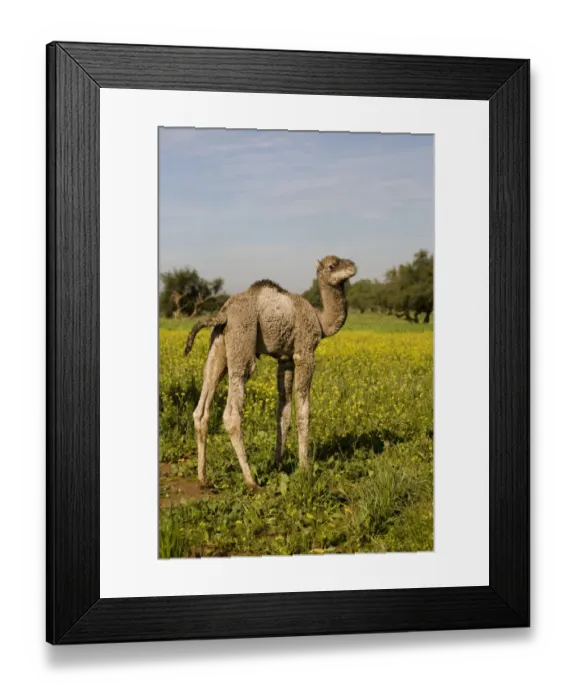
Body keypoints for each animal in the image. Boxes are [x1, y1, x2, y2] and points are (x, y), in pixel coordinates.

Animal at [183, 255, 357, 489]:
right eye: (332, 265)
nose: (353, 266)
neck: (321, 323)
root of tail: (223, 314)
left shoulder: (285, 360)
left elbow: (283, 411)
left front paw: (279, 463)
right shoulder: (304, 352)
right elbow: (303, 410)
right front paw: (305, 469)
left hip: (218, 345)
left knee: (202, 406)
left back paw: (203, 478)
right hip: (242, 339)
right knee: (231, 412)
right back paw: (251, 481)